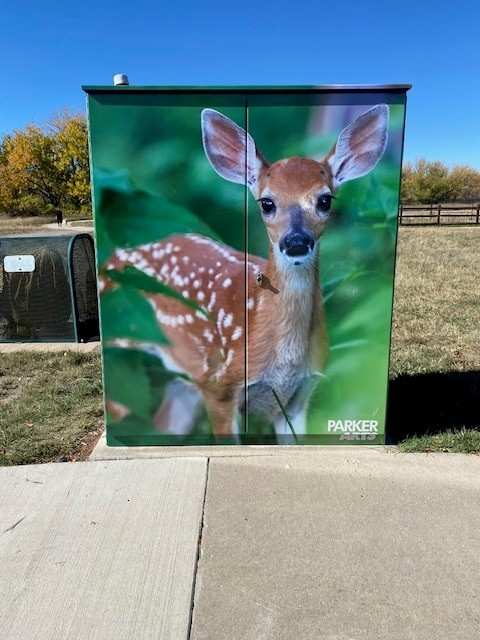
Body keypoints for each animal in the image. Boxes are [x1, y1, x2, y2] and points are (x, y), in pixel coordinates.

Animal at [103, 104, 389, 437]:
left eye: (325, 200)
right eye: (267, 202)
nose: (295, 242)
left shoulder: (299, 396)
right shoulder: (219, 386)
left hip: (184, 383)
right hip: (121, 353)